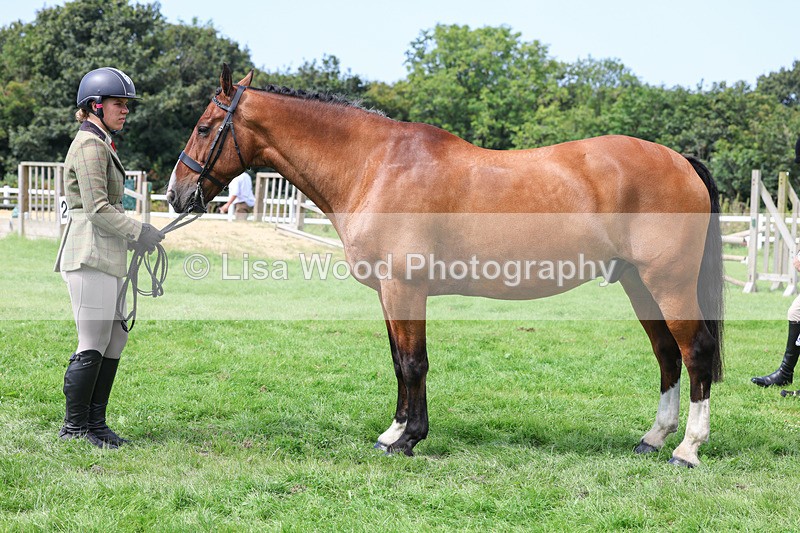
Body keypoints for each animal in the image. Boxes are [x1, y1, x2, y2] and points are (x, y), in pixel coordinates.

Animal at [168, 64, 724, 467]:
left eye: (203, 127)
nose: (176, 194)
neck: (375, 166)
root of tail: (680, 160)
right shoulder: (389, 293)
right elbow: (399, 362)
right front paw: (394, 432)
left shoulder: (405, 287)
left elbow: (414, 363)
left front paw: (407, 439)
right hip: (638, 285)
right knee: (667, 356)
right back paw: (653, 438)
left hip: (668, 283)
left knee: (694, 352)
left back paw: (686, 449)